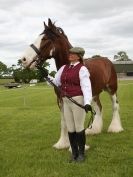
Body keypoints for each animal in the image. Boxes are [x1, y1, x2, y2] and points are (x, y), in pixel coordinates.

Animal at [20, 18, 123, 149]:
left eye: (45, 39)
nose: (23, 59)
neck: (69, 68)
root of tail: (106, 60)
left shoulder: (80, 100)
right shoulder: (61, 99)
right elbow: (64, 122)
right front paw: (62, 143)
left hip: (112, 89)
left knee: (115, 106)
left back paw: (115, 128)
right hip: (95, 93)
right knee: (99, 107)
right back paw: (94, 129)